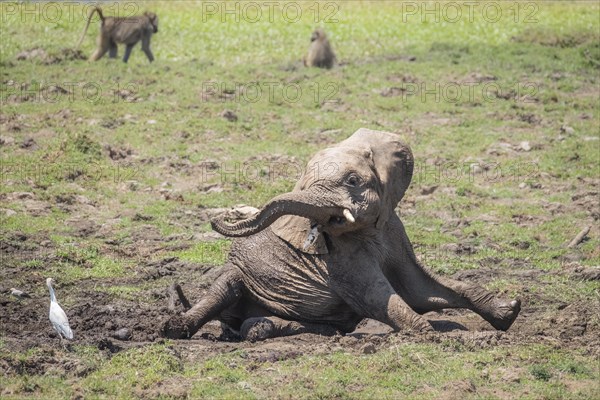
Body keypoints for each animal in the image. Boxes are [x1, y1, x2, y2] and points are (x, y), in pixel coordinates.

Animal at [162, 128, 524, 340]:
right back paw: (176, 329)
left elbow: (420, 290)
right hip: (237, 278)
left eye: (352, 180)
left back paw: (274, 328)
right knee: (224, 287)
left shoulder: (393, 229)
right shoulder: (342, 260)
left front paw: (509, 312)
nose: (219, 217)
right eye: (305, 183)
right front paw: (434, 337)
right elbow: (382, 298)